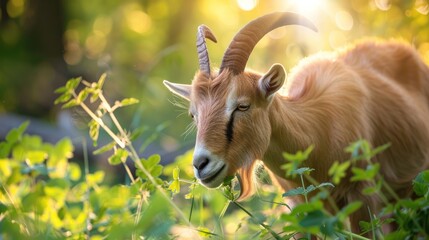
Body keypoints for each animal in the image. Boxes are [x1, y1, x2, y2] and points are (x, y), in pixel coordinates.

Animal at [162, 12, 428, 233]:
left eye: (242, 105)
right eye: (194, 114)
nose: (201, 164)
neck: (317, 131)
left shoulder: (362, 197)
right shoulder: (300, 204)